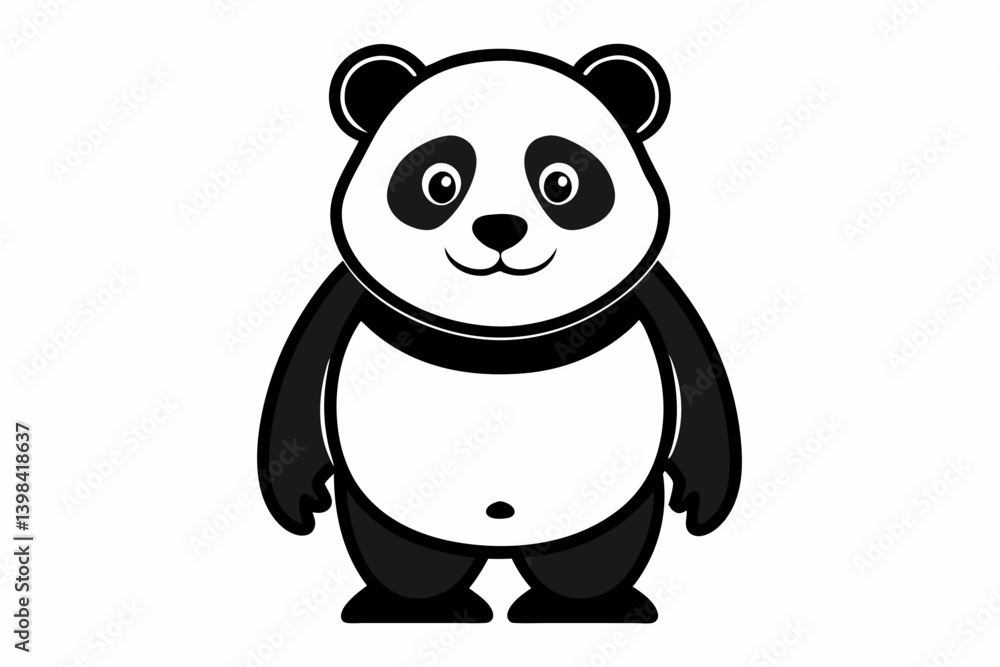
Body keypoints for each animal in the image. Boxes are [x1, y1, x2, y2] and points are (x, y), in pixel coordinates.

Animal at [258, 44, 741, 624]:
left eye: (561, 183)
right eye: (440, 183)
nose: (500, 227)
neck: (500, 328)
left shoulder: (648, 291)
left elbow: (696, 374)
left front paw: (702, 499)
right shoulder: (348, 292)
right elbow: (303, 375)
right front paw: (299, 498)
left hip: (605, 502)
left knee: (592, 556)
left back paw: (585, 606)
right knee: (407, 557)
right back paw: (413, 606)